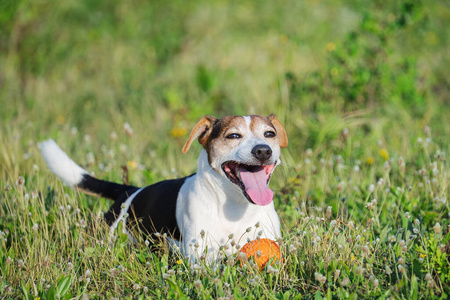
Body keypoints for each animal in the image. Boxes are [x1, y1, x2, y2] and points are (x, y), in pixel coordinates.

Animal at [41, 113, 288, 262]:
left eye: (269, 134)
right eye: (233, 135)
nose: (263, 150)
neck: (235, 205)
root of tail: (128, 191)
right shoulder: (200, 259)